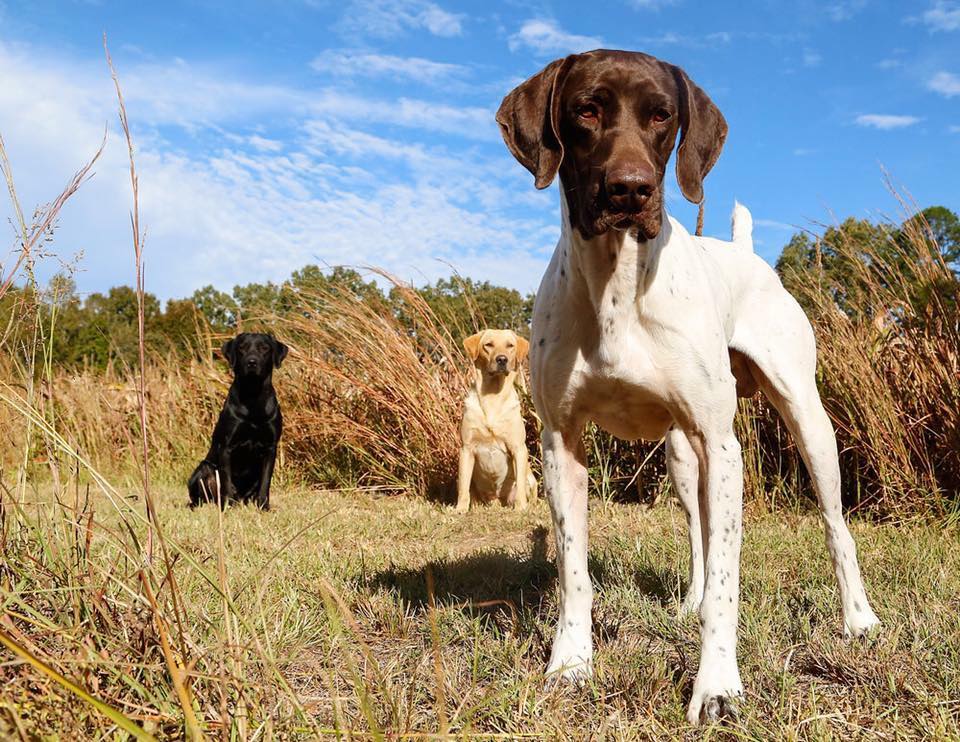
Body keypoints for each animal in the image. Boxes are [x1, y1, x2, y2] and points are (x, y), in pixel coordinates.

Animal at [188, 332, 288, 512]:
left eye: (264, 348)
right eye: (242, 347)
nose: (252, 362)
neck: (253, 397)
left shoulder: (270, 448)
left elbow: (266, 482)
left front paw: (264, 506)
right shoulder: (226, 446)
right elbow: (226, 481)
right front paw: (228, 506)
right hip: (204, 468)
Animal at [454, 332, 536, 516]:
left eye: (510, 345)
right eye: (488, 345)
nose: (502, 359)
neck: (492, 395)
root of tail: (498, 502)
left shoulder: (518, 448)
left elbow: (520, 486)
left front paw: (521, 507)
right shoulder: (466, 448)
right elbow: (463, 488)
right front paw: (460, 509)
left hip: (531, 479)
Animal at [498, 50, 880, 728]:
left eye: (662, 116)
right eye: (585, 110)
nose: (629, 190)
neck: (618, 285)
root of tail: (748, 254)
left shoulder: (723, 447)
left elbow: (730, 581)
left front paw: (719, 686)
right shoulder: (560, 442)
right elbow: (574, 570)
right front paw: (570, 666)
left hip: (806, 423)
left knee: (836, 526)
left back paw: (857, 619)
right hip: (681, 455)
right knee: (700, 536)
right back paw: (690, 603)